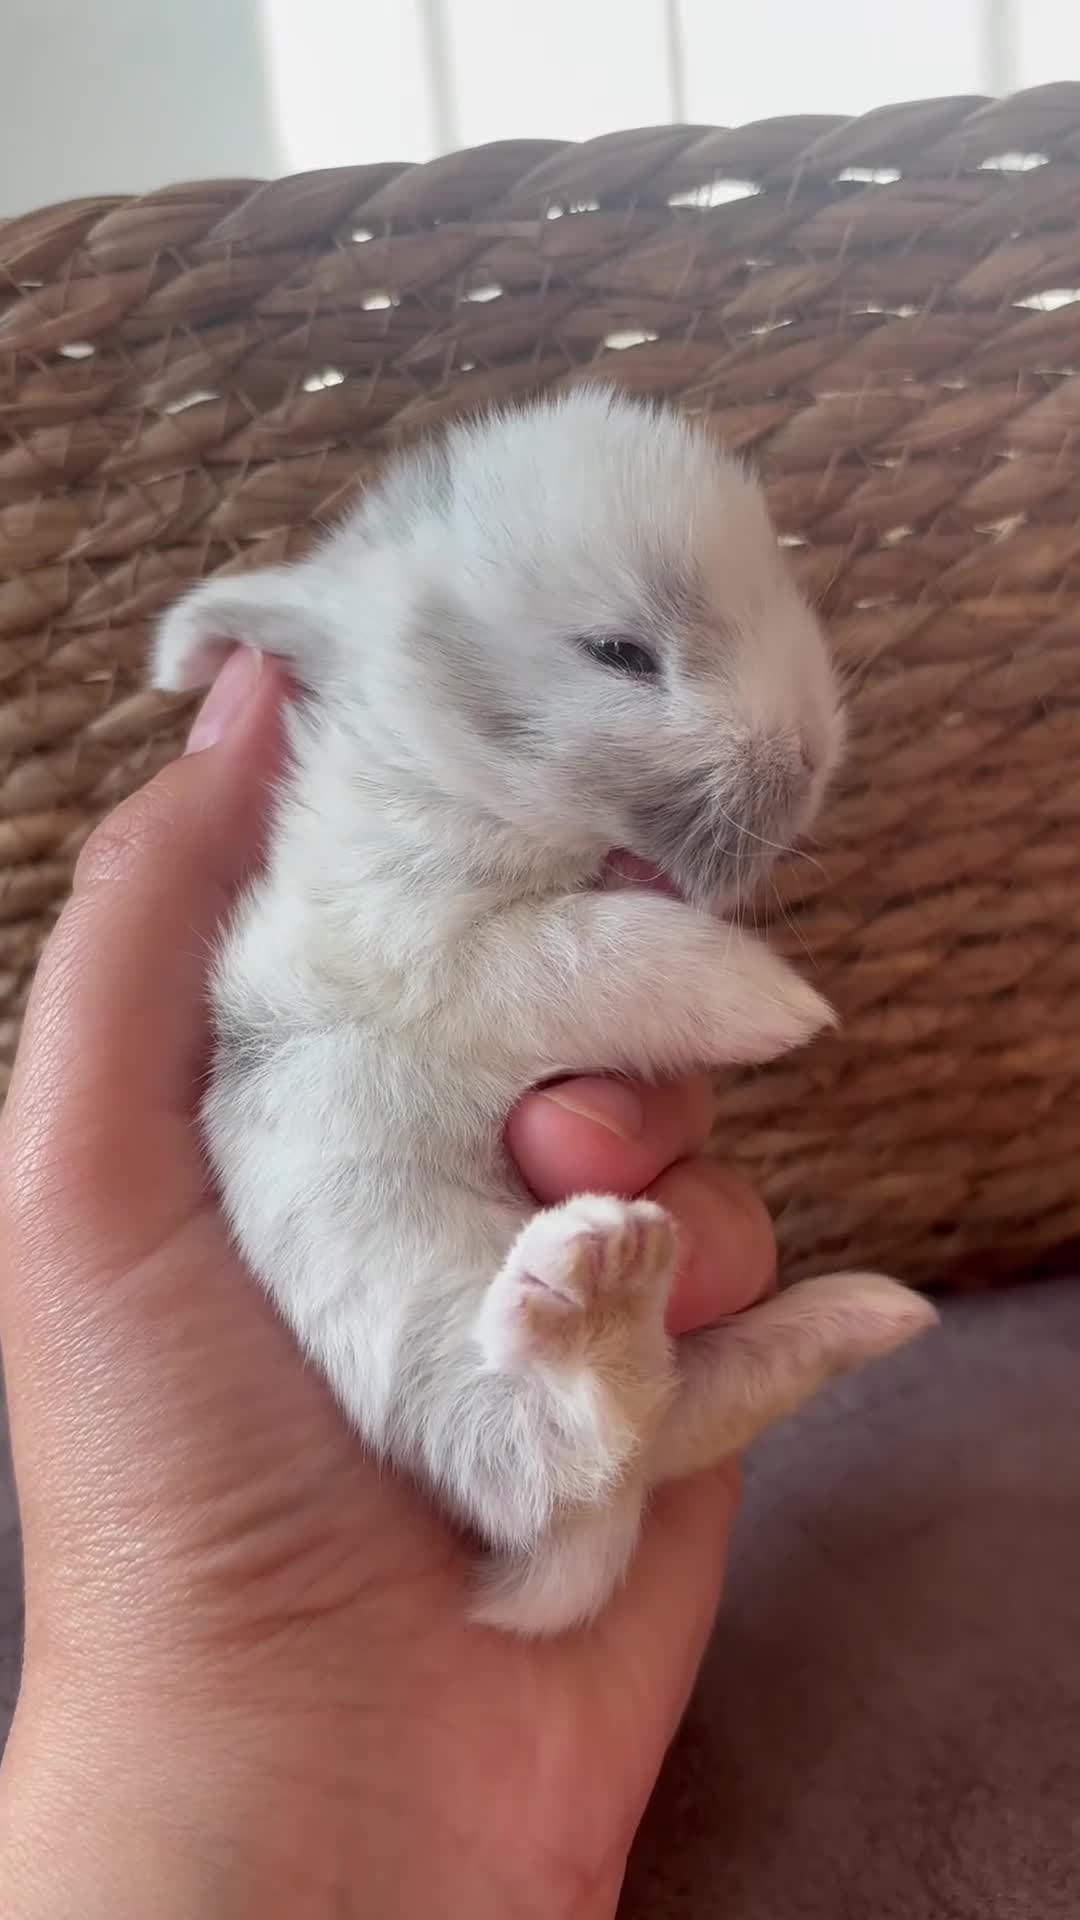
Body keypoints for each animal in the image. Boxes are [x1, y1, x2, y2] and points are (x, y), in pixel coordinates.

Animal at [153, 388, 937, 1636]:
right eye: (619, 652)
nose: (811, 762)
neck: (446, 766)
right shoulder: (435, 951)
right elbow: (586, 951)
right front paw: (768, 1002)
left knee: (675, 1416)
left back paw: (858, 1315)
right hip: (436, 1328)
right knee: (575, 1450)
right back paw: (601, 1295)